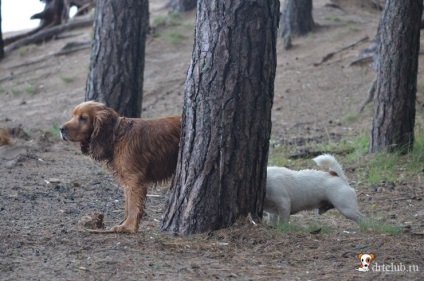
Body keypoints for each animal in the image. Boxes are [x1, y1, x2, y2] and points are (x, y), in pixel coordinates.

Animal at [60, 100, 181, 232]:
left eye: (83, 118)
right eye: (72, 116)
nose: (61, 129)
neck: (117, 135)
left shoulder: (133, 179)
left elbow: (133, 205)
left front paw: (128, 226)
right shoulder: (127, 181)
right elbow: (127, 204)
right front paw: (125, 223)